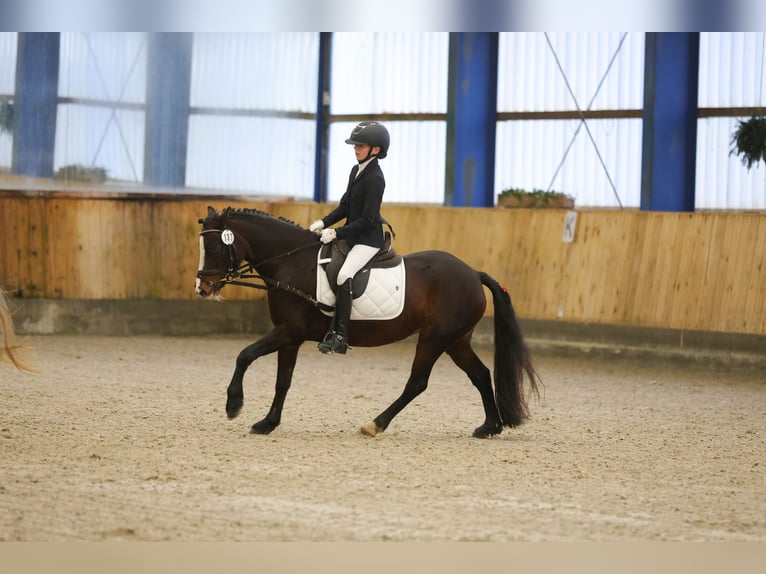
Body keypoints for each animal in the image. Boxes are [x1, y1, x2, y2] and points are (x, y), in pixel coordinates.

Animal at [200, 208, 544, 440]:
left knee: (417, 383)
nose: (202, 288)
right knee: (481, 375)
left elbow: (244, 355)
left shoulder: (288, 331)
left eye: (215, 247)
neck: (291, 263)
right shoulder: (290, 336)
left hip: (435, 338)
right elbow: (282, 380)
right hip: (456, 341)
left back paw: (375, 424)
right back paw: (489, 427)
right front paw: (267, 423)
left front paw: (234, 405)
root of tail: (473, 273)